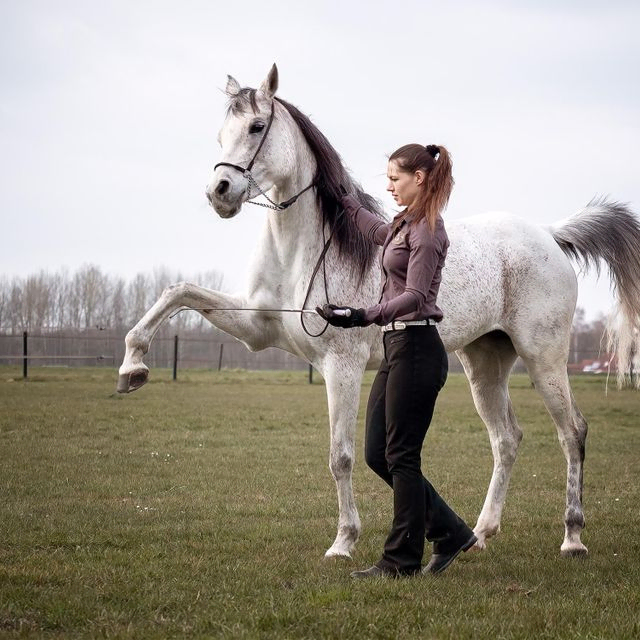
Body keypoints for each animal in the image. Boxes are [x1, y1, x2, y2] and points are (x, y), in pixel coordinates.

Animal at [119, 62, 640, 556]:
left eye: (256, 126)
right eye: (220, 132)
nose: (220, 192)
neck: (305, 251)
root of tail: (549, 235)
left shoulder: (341, 367)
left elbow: (342, 457)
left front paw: (343, 541)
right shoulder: (256, 327)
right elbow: (178, 292)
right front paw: (132, 368)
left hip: (544, 358)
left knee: (572, 432)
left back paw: (572, 537)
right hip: (485, 363)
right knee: (507, 439)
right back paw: (479, 533)